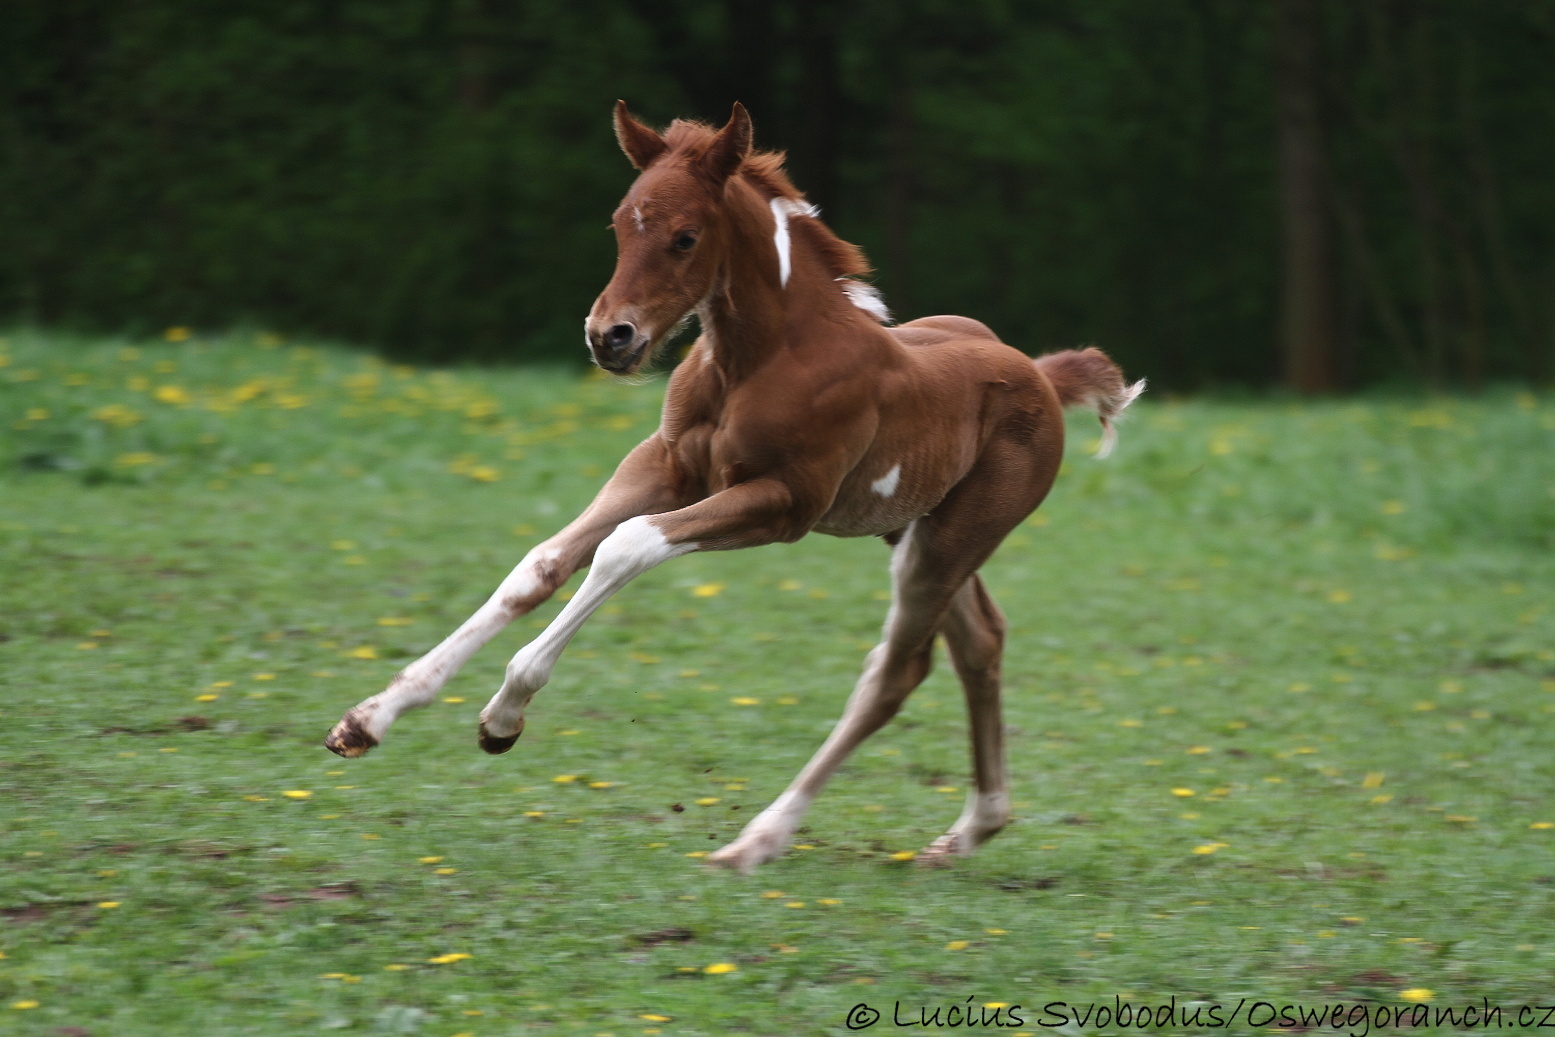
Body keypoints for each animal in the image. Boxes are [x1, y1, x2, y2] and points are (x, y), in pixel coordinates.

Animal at [321, 101, 1144, 870]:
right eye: (619, 224)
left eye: (685, 236)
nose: (609, 337)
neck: (761, 356)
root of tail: (1042, 375)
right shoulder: (662, 464)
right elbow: (541, 565)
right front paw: (369, 717)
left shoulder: (782, 503)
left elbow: (625, 548)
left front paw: (504, 712)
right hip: (912, 527)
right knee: (981, 642)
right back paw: (971, 828)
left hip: (949, 541)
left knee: (897, 670)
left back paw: (760, 839)